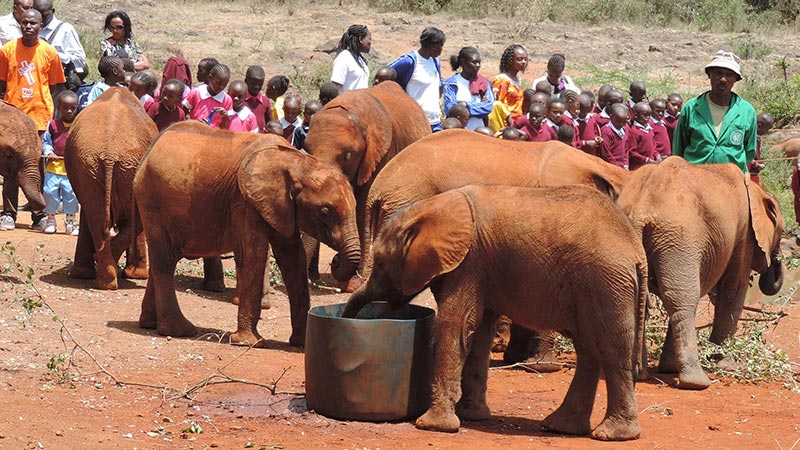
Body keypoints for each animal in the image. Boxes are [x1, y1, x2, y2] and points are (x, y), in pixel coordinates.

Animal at [65, 88, 158, 290]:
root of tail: (110, 152)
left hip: (92, 166)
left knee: (97, 216)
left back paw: (103, 279)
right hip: (109, 166)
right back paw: (106, 276)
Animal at [346, 185, 648, 442]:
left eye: (381, 263)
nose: (351, 318)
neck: (433, 206)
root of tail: (636, 250)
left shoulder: (470, 261)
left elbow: (455, 324)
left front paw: (433, 426)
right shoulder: (481, 267)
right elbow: (478, 332)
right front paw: (471, 416)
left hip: (606, 284)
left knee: (610, 351)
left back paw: (612, 435)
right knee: (590, 350)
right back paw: (561, 427)